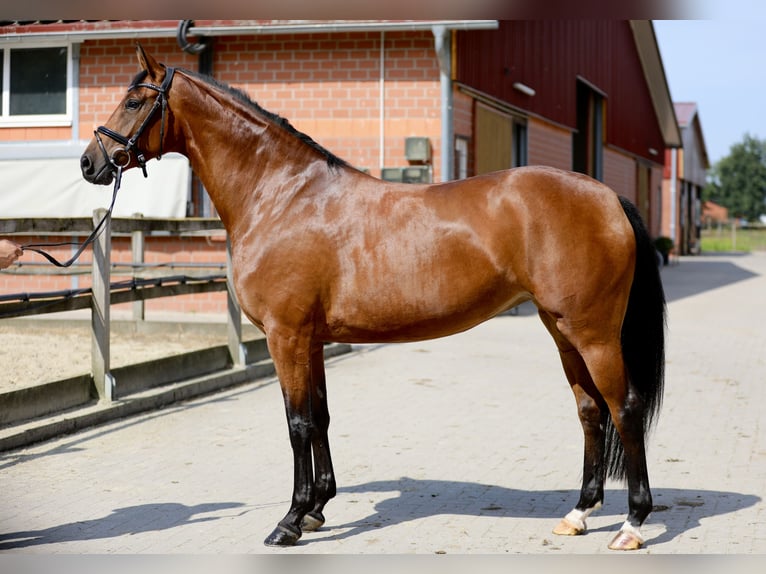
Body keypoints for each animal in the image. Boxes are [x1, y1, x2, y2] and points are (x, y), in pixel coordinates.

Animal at [79, 47, 664, 552]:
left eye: (133, 101)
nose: (90, 163)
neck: (283, 196)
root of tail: (608, 197)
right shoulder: (311, 341)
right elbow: (320, 417)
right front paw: (317, 509)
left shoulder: (286, 337)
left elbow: (296, 424)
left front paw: (289, 521)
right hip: (561, 329)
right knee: (590, 411)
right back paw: (579, 513)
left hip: (593, 333)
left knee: (625, 408)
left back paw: (632, 524)